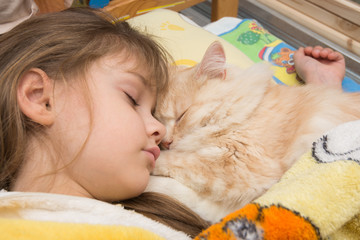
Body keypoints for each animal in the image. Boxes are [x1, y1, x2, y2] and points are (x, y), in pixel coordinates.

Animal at [145, 41, 360, 223]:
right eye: (158, 120)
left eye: (182, 115)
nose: (165, 142)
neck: (248, 108)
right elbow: (175, 188)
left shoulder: (240, 165)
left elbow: (174, 162)